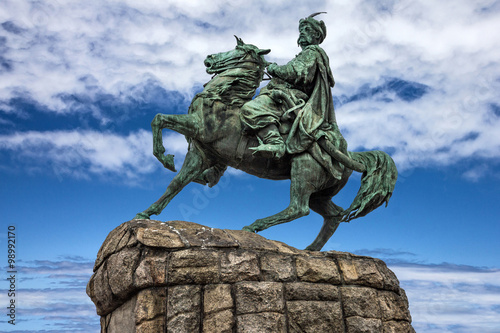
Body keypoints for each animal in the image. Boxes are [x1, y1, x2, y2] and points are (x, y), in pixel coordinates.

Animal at [134, 37, 398, 249]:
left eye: (238, 50)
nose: (209, 58)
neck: (224, 99)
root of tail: (349, 154)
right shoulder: (202, 153)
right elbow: (177, 183)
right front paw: (147, 212)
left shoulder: (197, 127)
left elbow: (159, 119)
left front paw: (164, 157)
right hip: (320, 194)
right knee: (333, 215)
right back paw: (310, 250)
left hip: (303, 172)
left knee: (298, 208)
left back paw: (255, 226)